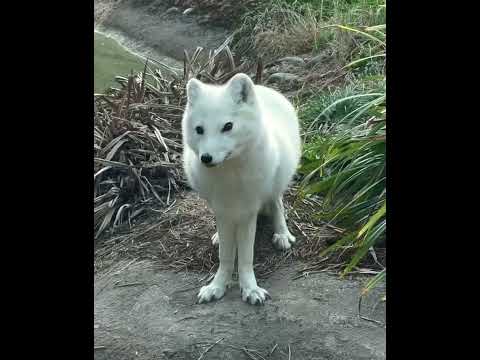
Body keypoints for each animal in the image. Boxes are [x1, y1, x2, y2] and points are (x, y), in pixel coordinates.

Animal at [182, 73, 302, 304]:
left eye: (228, 126)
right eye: (199, 129)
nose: (206, 158)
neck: (230, 175)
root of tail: (264, 88)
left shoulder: (248, 212)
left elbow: (246, 257)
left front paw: (250, 288)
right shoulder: (222, 210)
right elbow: (226, 256)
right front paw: (217, 286)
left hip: (276, 182)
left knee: (277, 203)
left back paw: (282, 233)